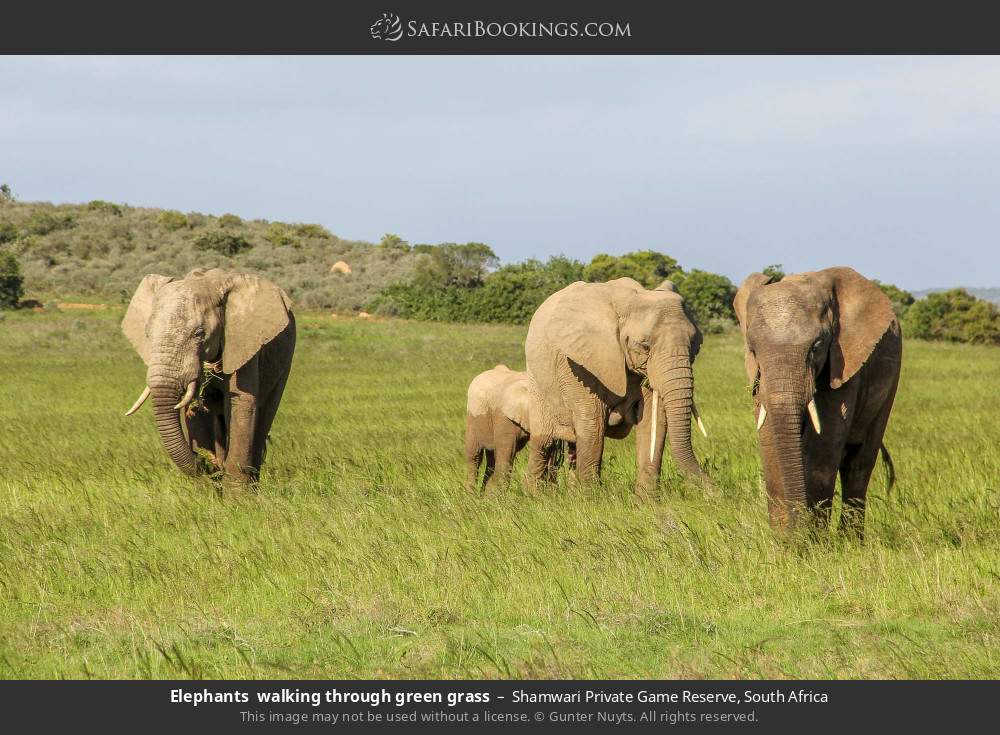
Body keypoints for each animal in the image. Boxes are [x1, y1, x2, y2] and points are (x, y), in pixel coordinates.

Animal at [121, 267, 296, 485]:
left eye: (199, 333)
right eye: (147, 334)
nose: (202, 459)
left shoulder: (241, 342)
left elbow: (241, 403)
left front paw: (236, 492)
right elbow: (197, 410)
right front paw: (208, 486)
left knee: (265, 414)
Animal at [524, 277, 711, 493]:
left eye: (695, 344)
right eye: (644, 346)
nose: (715, 491)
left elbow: (654, 421)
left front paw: (646, 499)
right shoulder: (578, 363)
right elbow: (593, 424)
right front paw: (591, 497)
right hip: (537, 380)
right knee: (544, 441)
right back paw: (537, 495)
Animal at [733, 266, 902, 536]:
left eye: (816, 347)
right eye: (753, 350)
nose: (797, 528)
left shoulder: (844, 363)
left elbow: (824, 448)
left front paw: (813, 540)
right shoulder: (759, 381)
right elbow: (770, 441)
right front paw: (784, 541)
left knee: (859, 464)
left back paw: (849, 540)